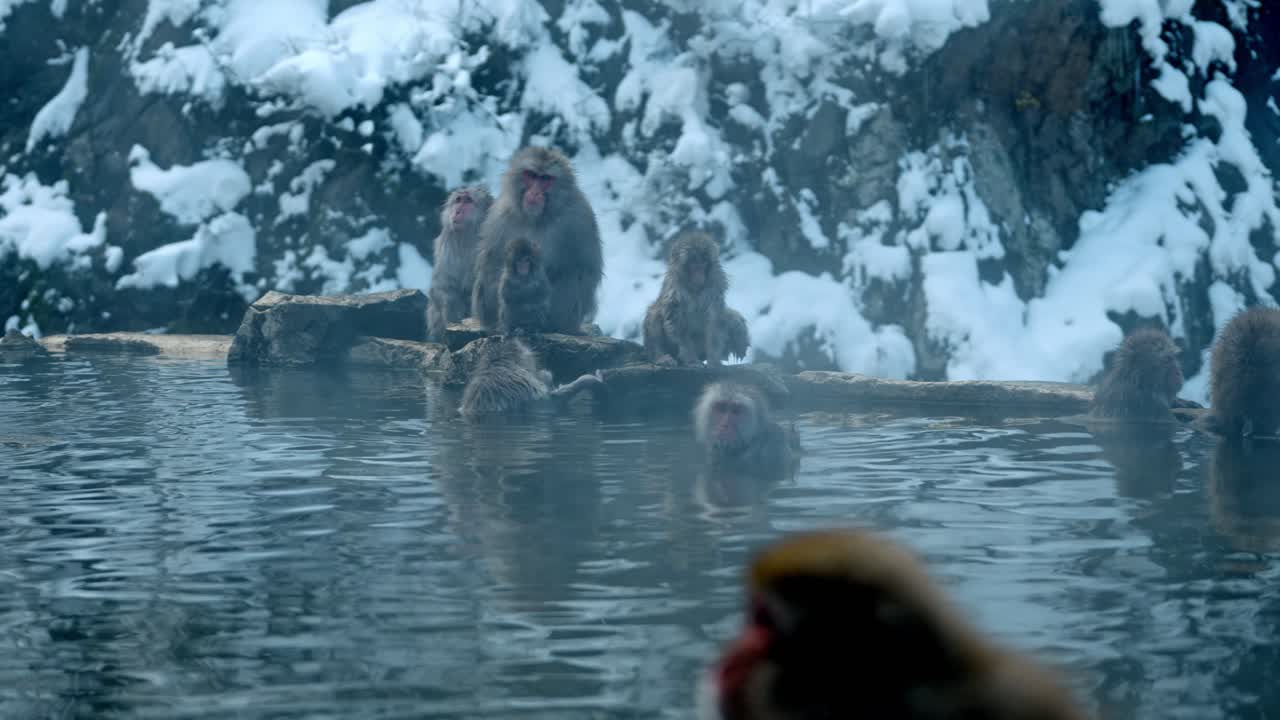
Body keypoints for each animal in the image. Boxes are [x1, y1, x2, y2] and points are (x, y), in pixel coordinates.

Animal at [427, 186, 493, 342]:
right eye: (458, 200)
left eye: (468, 200)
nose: (457, 211)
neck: (470, 234)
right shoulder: (448, 241)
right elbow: (444, 285)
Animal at [472, 147, 602, 333]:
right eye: (531, 175)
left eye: (545, 179)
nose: (534, 193)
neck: (537, 218)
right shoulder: (499, 216)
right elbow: (492, 267)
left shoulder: (580, 217)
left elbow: (584, 270)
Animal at [645, 232, 748, 367]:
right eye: (693, 261)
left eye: (703, 261)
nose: (699, 271)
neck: (695, 289)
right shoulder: (675, 289)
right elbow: (675, 321)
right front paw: (691, 359)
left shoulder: (715, 286)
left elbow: (714, 320)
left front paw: (714, 360)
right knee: (654, 314)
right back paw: (661, 357)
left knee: (730, 317)